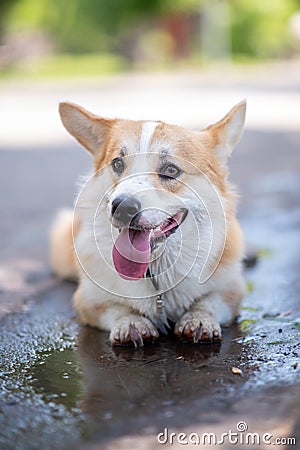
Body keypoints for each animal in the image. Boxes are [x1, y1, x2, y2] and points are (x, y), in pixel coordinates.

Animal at [49, 101, 246, 348]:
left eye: (171, 170)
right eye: (117, 163)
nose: (122, 208)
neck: (157, 270)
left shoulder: (231, 291)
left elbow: (207, 302)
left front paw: (198, 320)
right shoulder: (88, 301)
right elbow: (118, 308)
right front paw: (131, 324)